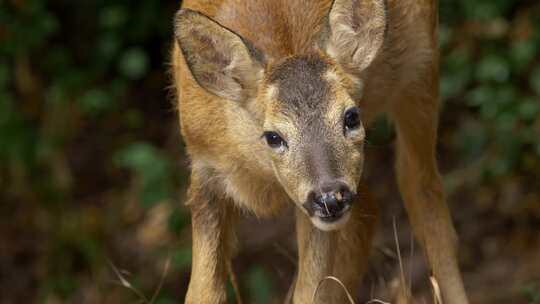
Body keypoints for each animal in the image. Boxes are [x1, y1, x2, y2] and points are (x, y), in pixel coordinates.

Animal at [172, 0, 468, 304]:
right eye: (273, 136)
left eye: (352, 117)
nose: (331, 198)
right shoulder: (203, 168)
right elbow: (203, 291)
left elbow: (311, 290)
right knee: (373, 207)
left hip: (421, 70)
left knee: (423, 193)